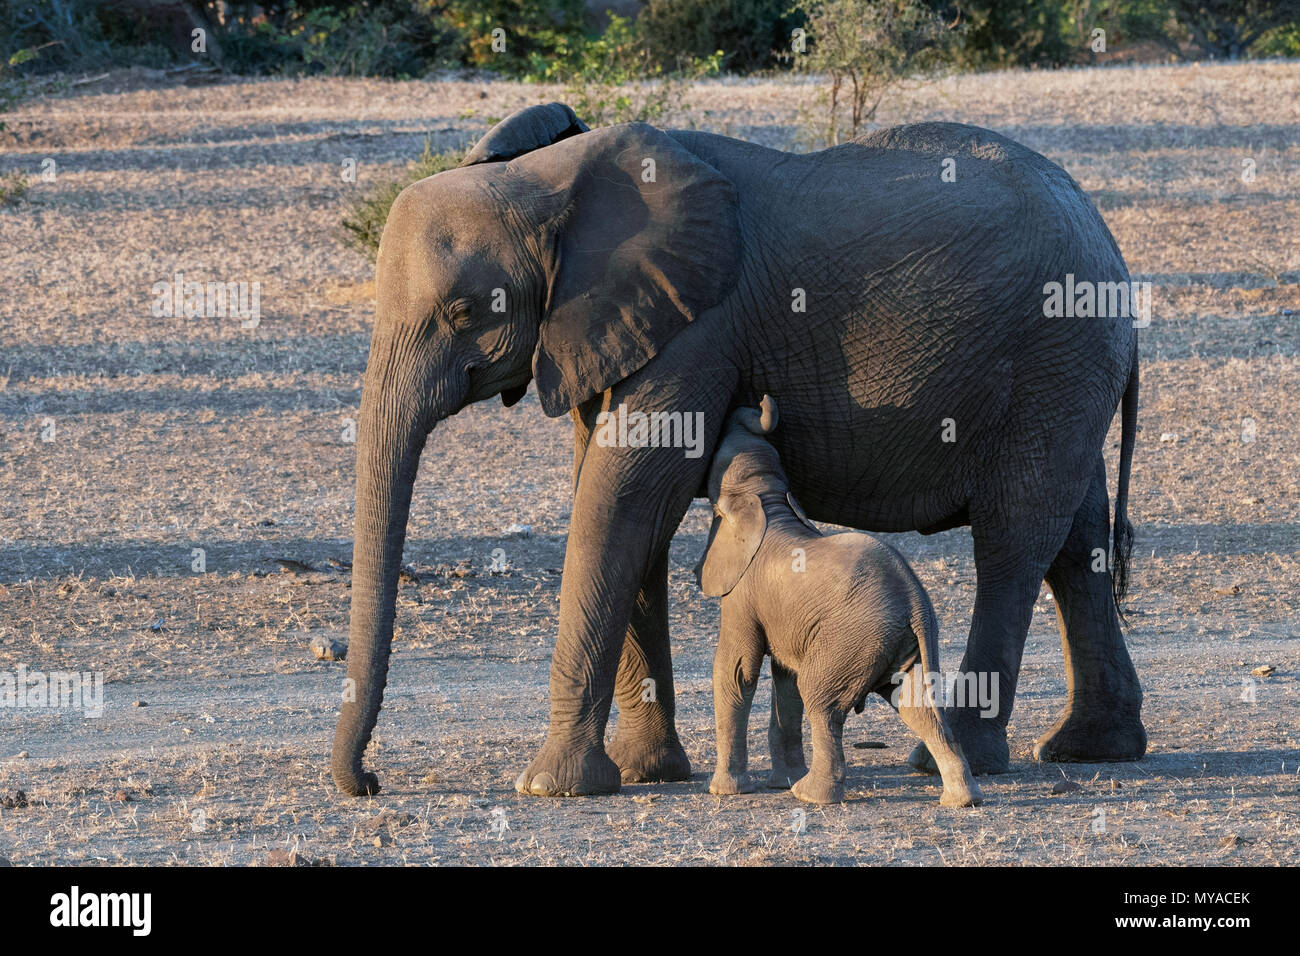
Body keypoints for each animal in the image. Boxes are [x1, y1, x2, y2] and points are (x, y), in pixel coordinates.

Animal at [696, 395, 977, 806]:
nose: (759, 400)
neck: (766, 498)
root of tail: (915, 599)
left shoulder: (741, 593)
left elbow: (737, 670)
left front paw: (724, 790)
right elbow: (784, 679)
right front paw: (779, 781)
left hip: (853, 640)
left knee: (819, 697)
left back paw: (810, 795)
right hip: (900, 642)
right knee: (915, 704)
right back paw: (961, 799)